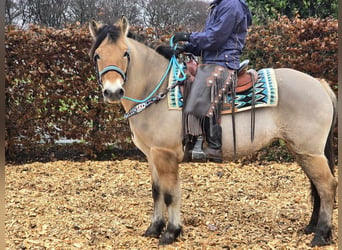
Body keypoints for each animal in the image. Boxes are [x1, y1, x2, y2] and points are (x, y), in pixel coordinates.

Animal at [87, 17, 336, 246]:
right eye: (97, 55)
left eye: (125, 53)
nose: (113, 91)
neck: (158, 89)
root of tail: (319, 83)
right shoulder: (152, 156)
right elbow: (156, 192)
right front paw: (154, 228)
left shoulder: (165, 155)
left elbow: (170, 194)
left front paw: (171, 232)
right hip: (302, 151)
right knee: (316, 186)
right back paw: (312, 227)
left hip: (310, 152)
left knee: (327, 186)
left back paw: (321, 235)